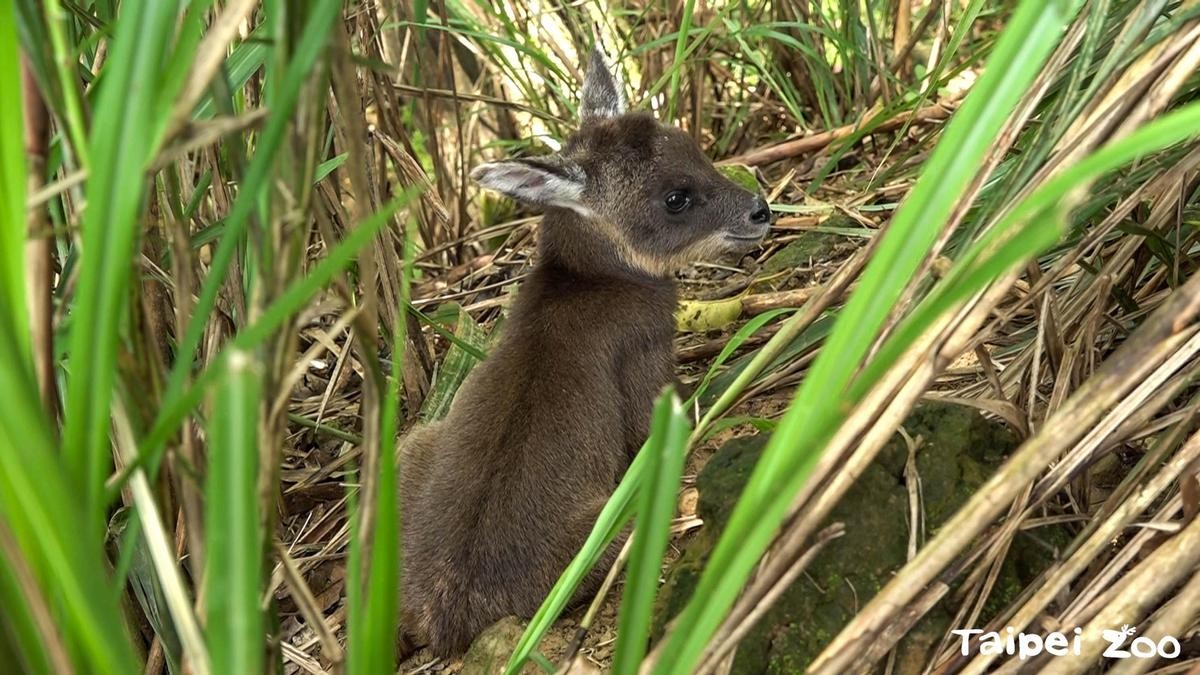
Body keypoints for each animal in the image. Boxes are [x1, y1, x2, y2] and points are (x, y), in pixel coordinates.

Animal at [403, 45, 772, 653]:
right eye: (675, 199)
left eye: (695, 147)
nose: (760, 210)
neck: (589, 279)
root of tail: (444, 620)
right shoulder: (648, 364)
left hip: (415, 441)